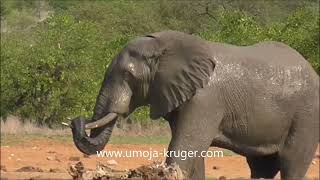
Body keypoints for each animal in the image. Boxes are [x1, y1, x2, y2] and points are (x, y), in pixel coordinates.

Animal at [71, 30, 318, 179]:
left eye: (127, 75)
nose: (75, 121)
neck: (161, 46)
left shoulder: (204, 99)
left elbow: (184, 148)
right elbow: (193, 153)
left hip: (307, 115)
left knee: (291, 161)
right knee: (262, 166)